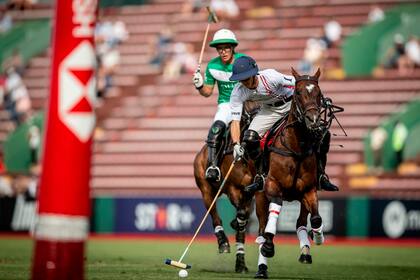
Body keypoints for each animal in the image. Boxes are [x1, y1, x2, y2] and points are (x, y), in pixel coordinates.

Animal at [194, 101, 270, 274]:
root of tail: (201, 153)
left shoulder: (254, 191)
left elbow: (246, 215)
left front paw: (237, 223)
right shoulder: (233, 188)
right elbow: (240, 213)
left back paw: (240, 263)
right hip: (206, 190)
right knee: (215, 217)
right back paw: (223, 242)